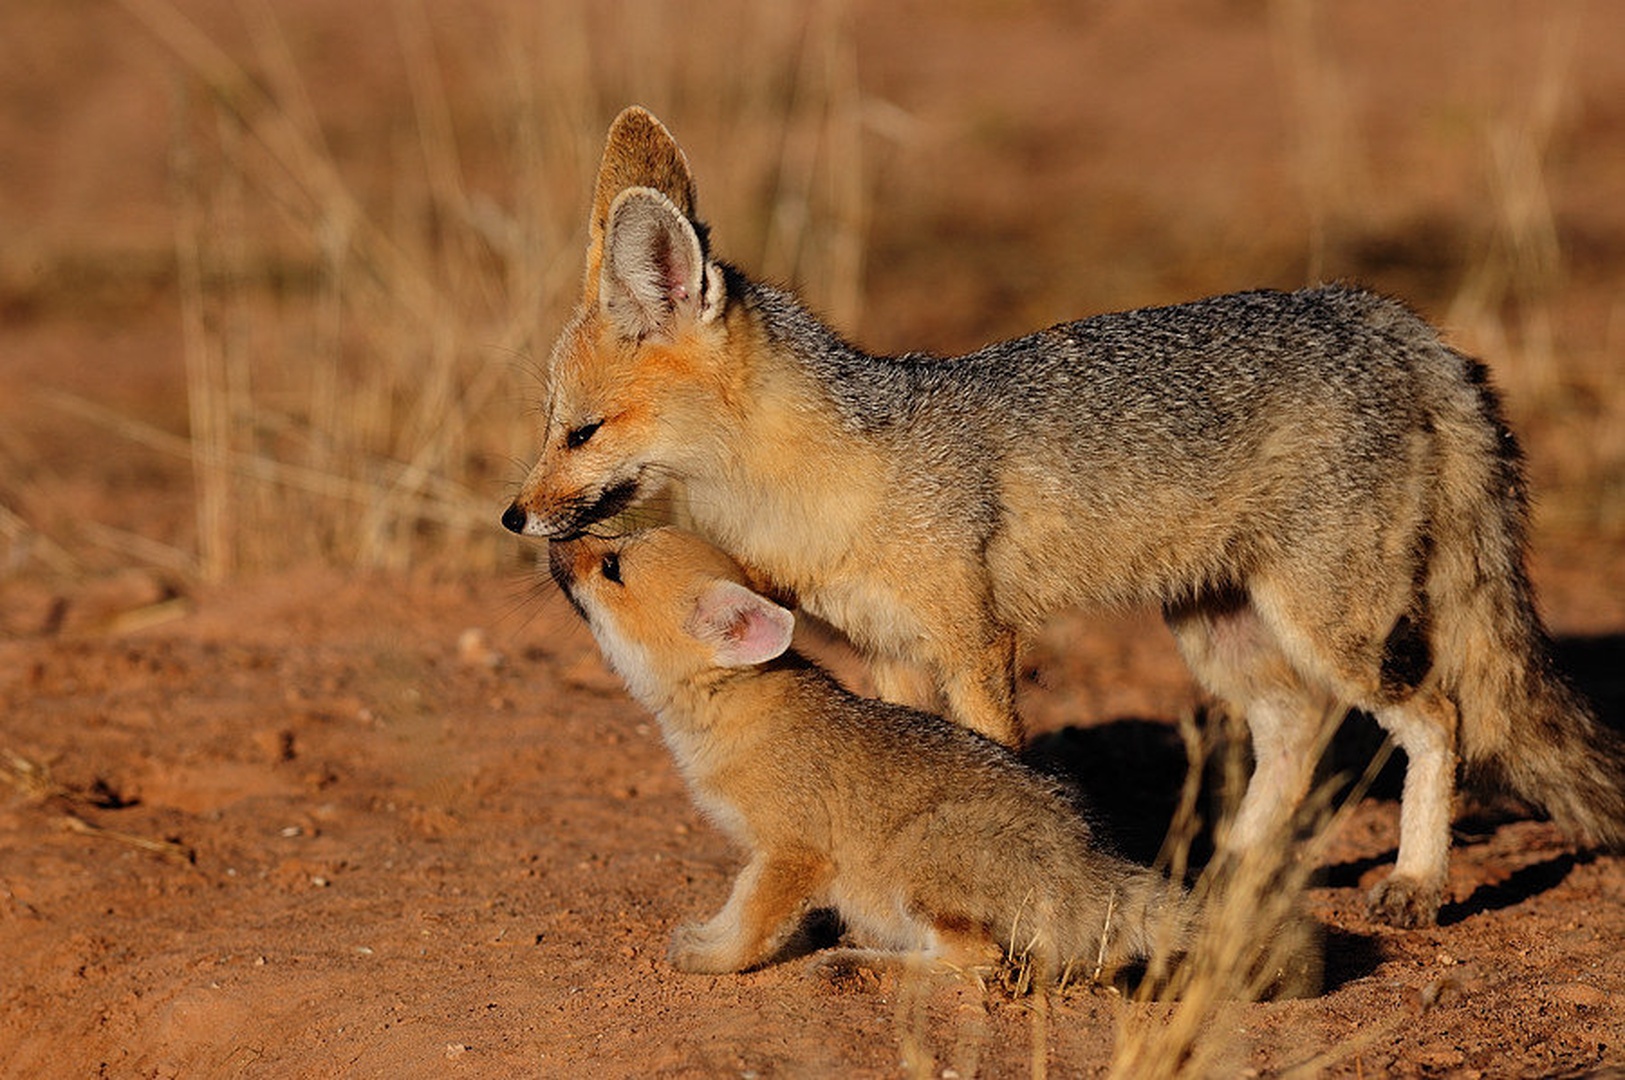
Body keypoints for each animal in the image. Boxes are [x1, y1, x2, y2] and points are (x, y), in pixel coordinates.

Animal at [503, 105, 1625, 928]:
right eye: (549, 427)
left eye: (581, 433)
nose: (512, 516)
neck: (831, 476)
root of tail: (1387, 315)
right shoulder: (891, 654)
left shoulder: (976, 643)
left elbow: (998, 762)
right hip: (1215, 624)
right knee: (1296, 726)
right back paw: (1230, 875)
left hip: (1331, 624)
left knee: (1433, 716)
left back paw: (1416, 882)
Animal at [548, 526, 1192, 983]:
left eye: (611, 568)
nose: (553, 540)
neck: (740, 711)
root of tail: (1093, 865)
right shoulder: (769, 859)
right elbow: (747, 909)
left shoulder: (792, 854)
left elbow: (749, 925)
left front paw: (711, 956)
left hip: (919, 865)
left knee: (978, 961)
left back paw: (855, 962)